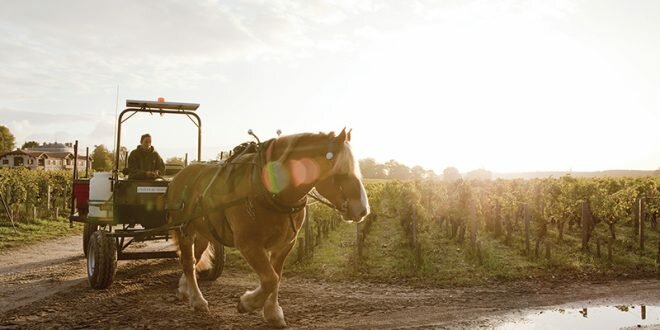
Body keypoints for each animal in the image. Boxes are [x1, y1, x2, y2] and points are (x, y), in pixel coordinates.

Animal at [168, 127, 368, 326]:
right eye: (341, 170)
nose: (362, 210)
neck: (268, 189)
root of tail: (180, 175)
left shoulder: (285, 245)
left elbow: (276, 277)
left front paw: (272, 313)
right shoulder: (248, 244)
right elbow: (270, 279)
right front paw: (247, 303)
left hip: (203, 232)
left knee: (193, 259)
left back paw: (185, 289)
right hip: (185, 230)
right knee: (188, 262)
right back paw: (198, 300)